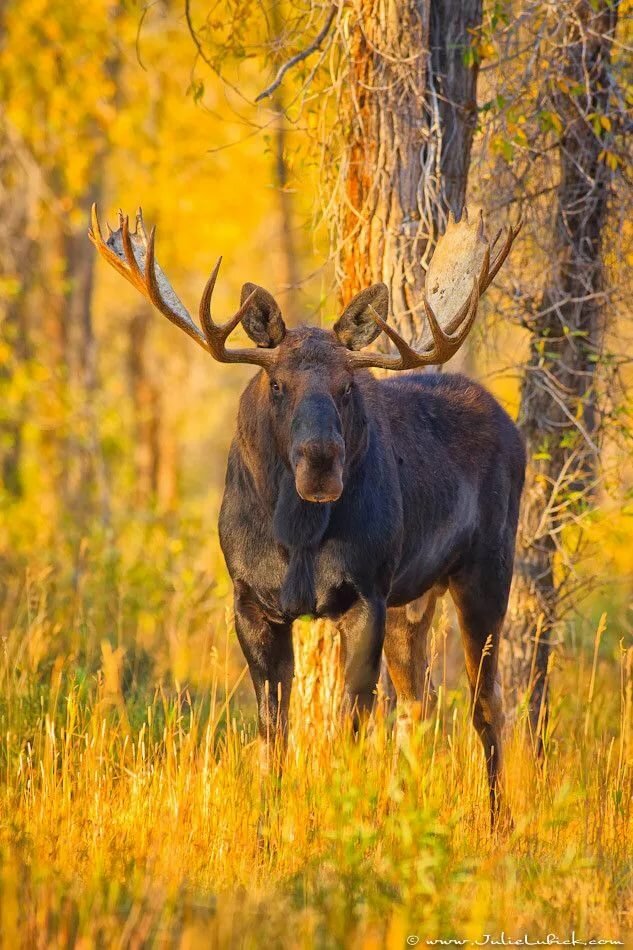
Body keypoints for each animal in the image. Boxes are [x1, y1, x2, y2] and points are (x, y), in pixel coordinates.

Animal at [89, 204, 525, 828]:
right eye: (277, 383)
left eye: (347, 386)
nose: (321, 463)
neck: (295, 539)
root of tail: (510, 424)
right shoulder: (252, 601)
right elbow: (274, 732)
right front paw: (268, 828)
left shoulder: (365, 595)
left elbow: (351, 727)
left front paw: (340, 821)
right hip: (412, 600)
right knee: (417, 704)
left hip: (485, 570)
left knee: (485, 704)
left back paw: (498, 826)